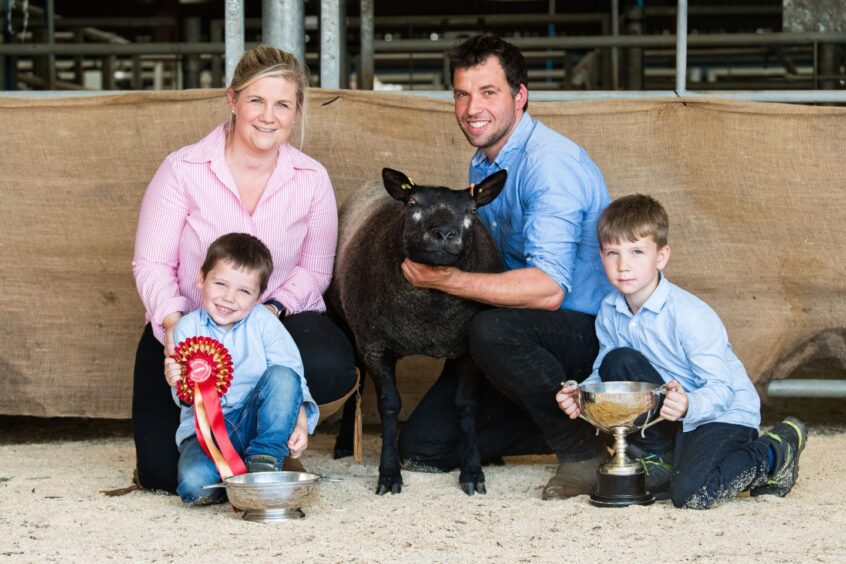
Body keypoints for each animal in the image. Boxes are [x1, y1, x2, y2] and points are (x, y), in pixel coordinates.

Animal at [328, 166, 506, 494]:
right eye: (412, 204)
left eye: (473, 210)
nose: (445, 234)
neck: (428, 314)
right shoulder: (376, 346)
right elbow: (389, 405)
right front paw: (389, 473)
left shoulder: (467, 350)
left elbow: (466, 405)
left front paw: (472, 471)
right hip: (346, 323)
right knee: (356, 382)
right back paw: (345, 443)